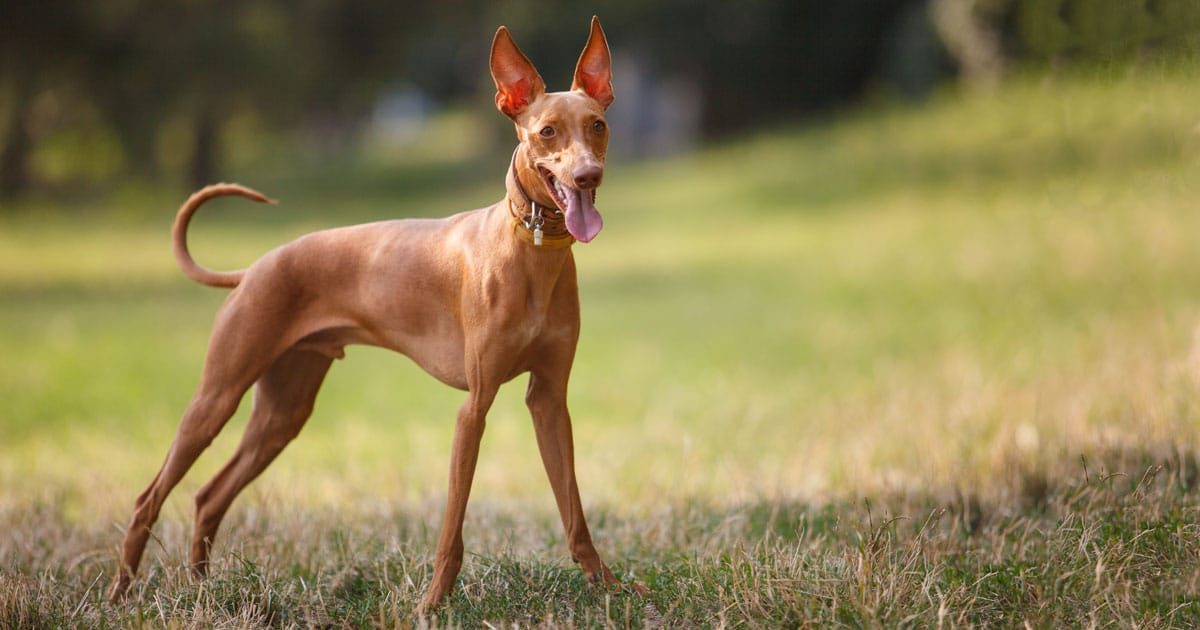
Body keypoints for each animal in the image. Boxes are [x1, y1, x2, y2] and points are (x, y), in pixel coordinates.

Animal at [110, 18, 638, 609]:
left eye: (597, 125)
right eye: (547, 132)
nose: (588, 176)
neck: (530, 252)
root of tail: (254, 268)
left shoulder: (548, 400)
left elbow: (574, 512)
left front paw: (610, 586)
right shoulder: (473, 410)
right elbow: (452, 527)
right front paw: (432, 603)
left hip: (282, 414)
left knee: (207, 495)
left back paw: (203, 589)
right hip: (216, 397)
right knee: (149, 498)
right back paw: (119, 595)